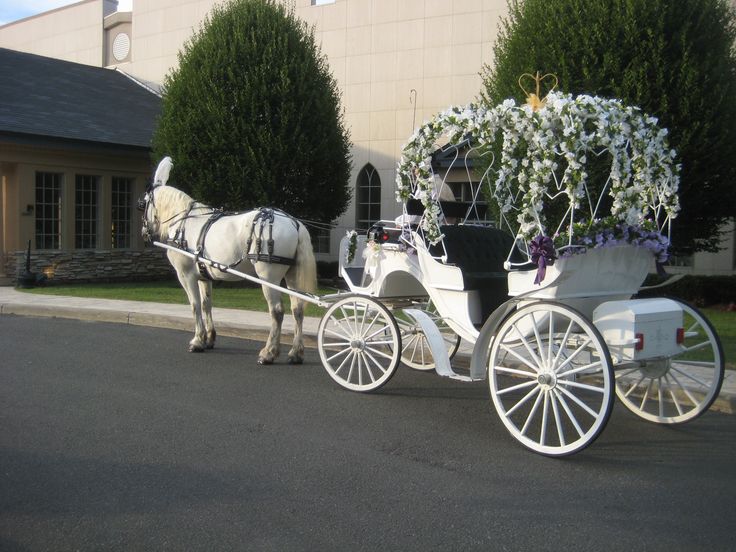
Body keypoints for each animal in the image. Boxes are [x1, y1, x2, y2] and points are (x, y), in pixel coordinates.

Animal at [141, 156, 316, 362]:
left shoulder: (185, 275)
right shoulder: (203, 277)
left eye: (143, 204)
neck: (183, 222)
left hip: (269, 276)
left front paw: (197, 341)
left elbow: (194, 305)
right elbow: (206, 304)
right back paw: (296, 353)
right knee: (298, 309)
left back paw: (269, 352)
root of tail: (294, 224)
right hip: (291, 275)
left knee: (277, 311)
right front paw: (209, 339)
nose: (143, 232)